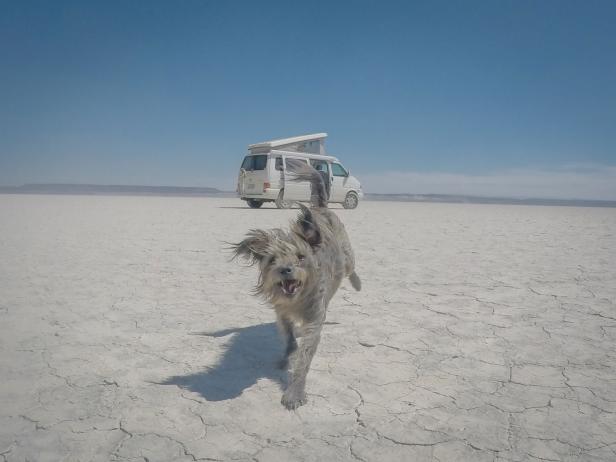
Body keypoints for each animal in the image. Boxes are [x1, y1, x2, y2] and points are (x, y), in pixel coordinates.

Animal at [233, 162, 364, 408]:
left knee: (351, 268)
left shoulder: (314, 320)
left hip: (346, 254)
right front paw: (286, 357)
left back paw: (358, 283)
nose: (285, 270)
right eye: (272, 260)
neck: (298, 299)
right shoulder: (282, 313)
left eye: (301, 257)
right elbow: (289, 340)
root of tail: (320, 208)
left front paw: (295, 392)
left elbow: (304, 357)